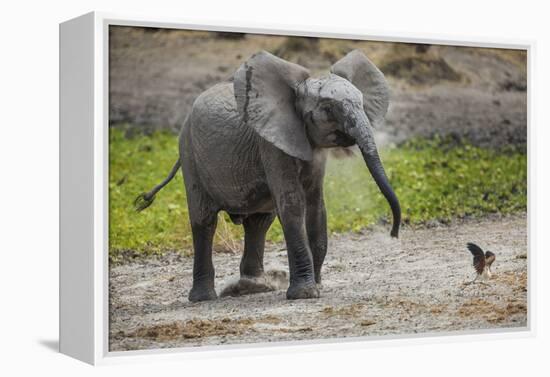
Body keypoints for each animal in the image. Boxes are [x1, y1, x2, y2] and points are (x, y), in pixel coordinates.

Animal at [134, 50, 402, 302]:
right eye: (328, 109)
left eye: (362, 102)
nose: (393, 234)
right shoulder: (271, 146)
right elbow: (293, 205)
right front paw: (305, 294)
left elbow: (316, 207)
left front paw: (318, 287)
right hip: (189, 152)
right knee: (204, 221)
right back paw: (204, 298)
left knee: (259, 222)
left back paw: (253, 287)